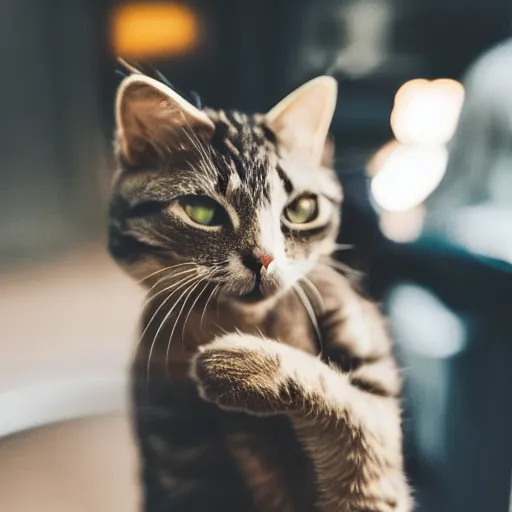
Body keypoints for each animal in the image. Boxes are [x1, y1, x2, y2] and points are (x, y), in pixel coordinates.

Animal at [108, 68, 412, 512]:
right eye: (202, 211)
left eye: (301, 209)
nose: (264, 258)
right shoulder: (178, 456)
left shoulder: (375, 436)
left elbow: (345, 407)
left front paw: (240, 365)